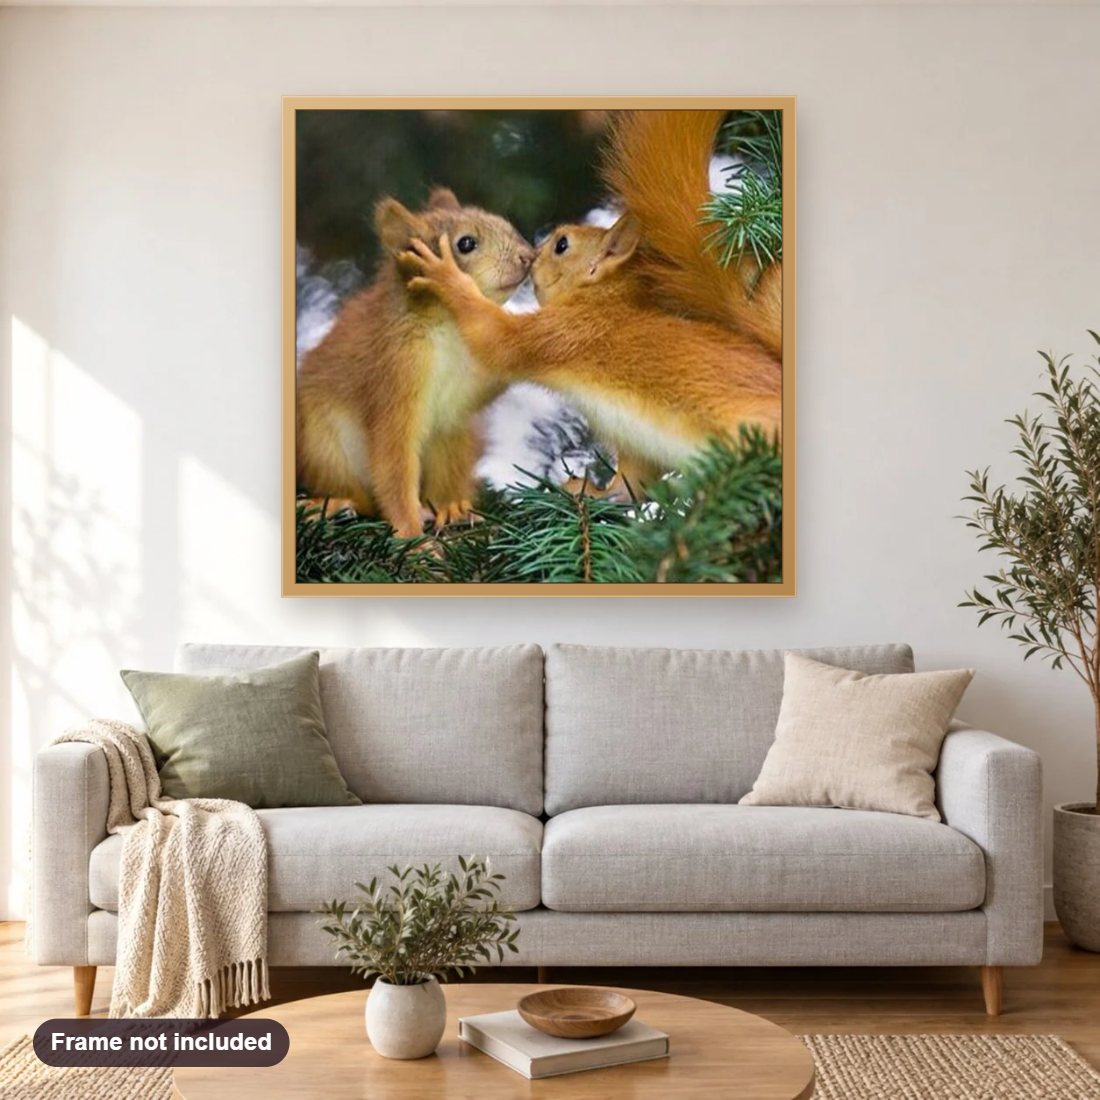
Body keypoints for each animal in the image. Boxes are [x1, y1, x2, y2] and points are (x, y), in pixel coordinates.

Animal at [296, 187, 534, 538]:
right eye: (466, 244)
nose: (528, 256)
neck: (448, 327)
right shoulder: (396, 373)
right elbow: (394, 462)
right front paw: (413, 537)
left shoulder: (461, 396)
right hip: (323, 447)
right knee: (362, 498)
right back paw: (333, 506)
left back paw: (453, 506)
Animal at [401, 111, 783, 494]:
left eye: (562, 245)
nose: (531, 254)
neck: (601, 300)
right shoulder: (634, 450)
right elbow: (629, 484)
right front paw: (590, 491)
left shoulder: (565, 330)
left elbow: (497, 338)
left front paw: (445, 275)